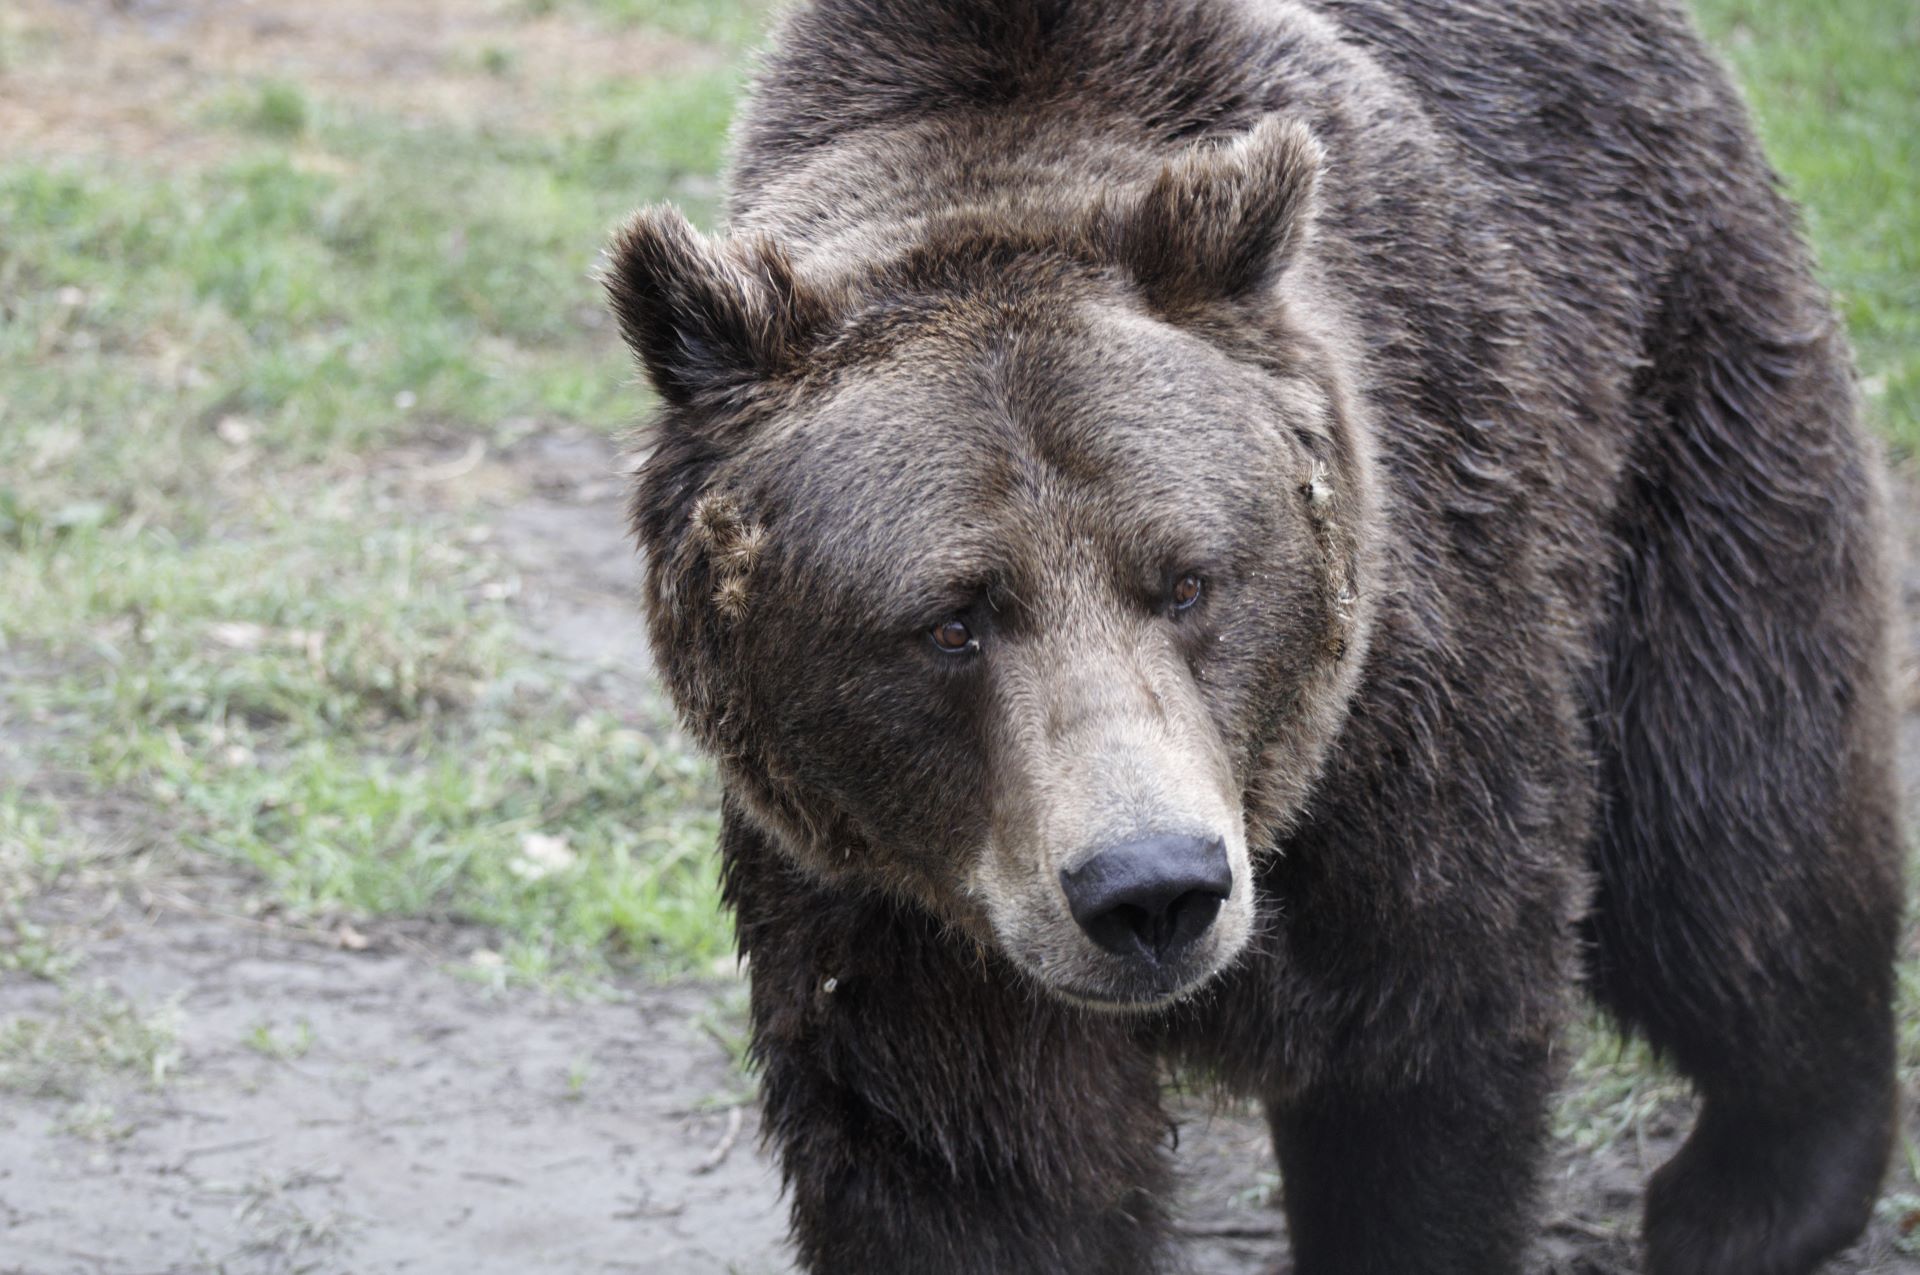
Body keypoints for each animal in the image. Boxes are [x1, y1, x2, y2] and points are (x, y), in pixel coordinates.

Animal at [602, 2, 1904, 1275]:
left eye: (1187, 582)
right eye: (951, 621)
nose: (1150, 889)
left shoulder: (1406, 702)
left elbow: (1425, 1052)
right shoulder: (892, 898)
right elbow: (966, 1160)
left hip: (1672, 384)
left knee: (1724, 814)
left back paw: (1757, 1190)